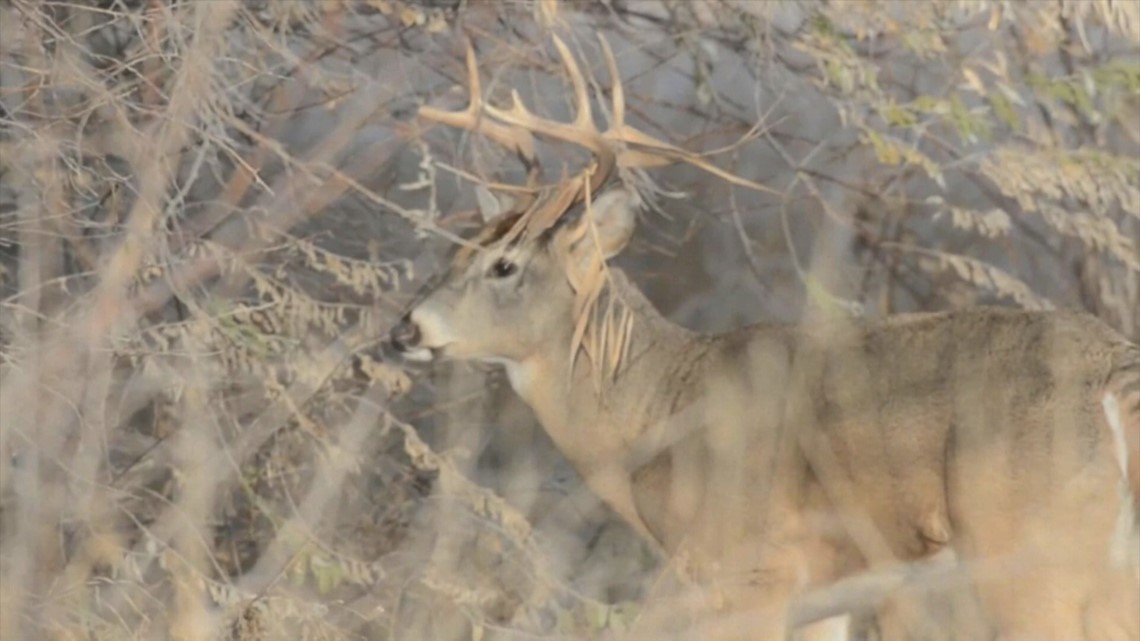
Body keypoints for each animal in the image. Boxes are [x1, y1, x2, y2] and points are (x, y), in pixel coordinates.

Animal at [388, 34, 1140, 641]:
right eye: (456, 248)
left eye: (504, 264)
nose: (405, 327)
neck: (654, 413)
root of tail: (1111, 370)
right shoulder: (822, 598)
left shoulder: (747, 569)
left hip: (1030, 557)